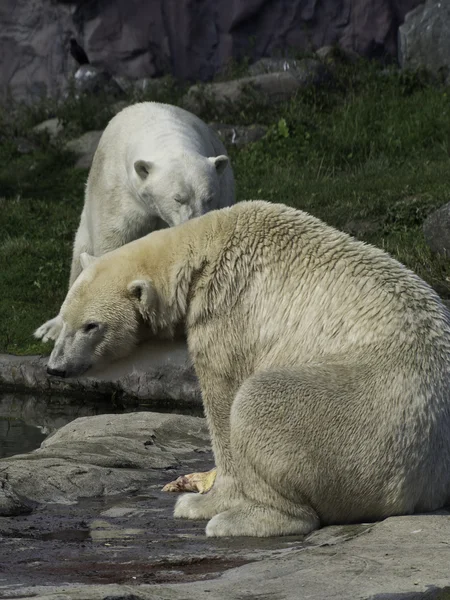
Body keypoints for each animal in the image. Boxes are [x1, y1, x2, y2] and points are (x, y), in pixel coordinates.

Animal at [33, 101, 234, 344]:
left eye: (209, 197)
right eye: (178, 198)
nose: (196, 222)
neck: (163, 130)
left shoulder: (223, 194)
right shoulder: (118, 194)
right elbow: (114, 244)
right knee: (79, 254)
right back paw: (50, 328)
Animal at [44, 202, 450, 540]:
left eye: (91, 326)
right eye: (63, 319)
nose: (55, 368)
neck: (205, 249)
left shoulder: (227, 312)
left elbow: (223, 401)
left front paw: (203, 502)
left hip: (361, 420)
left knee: (259, 400)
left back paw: (242, 520)